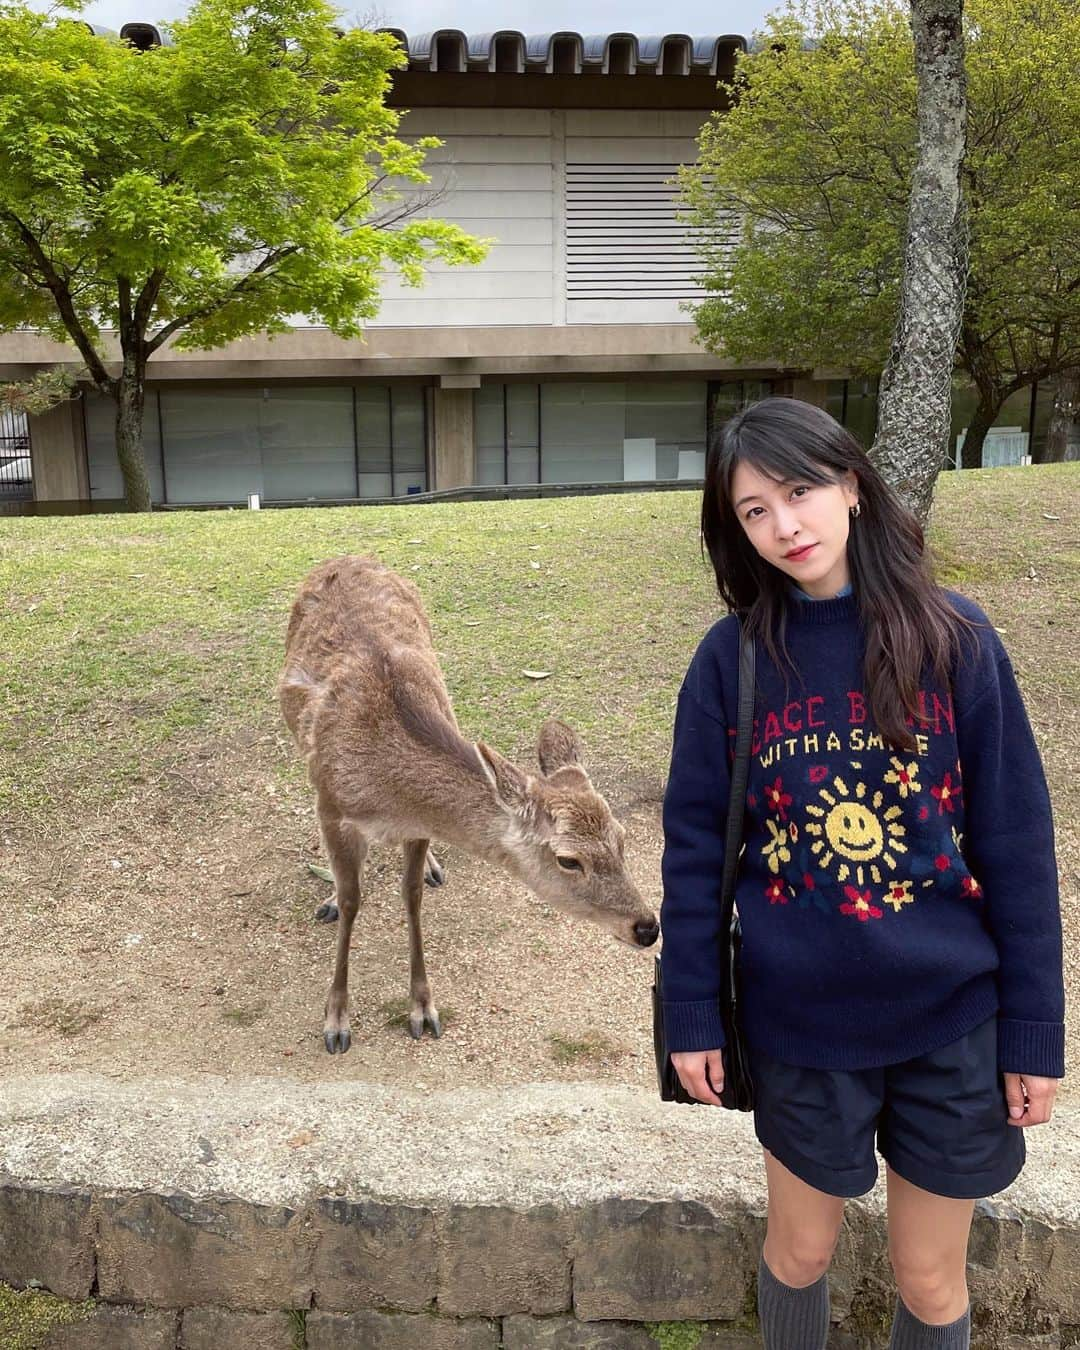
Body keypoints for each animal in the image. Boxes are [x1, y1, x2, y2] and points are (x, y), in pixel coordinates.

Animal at [278, 553, 658, 1047]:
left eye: (622, 838)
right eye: (568, 860)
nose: (647, 927)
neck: (388, 793)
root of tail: (348, 556)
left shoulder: (419, 825)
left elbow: (411, 895)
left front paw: (422, 1008)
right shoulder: (334, 807)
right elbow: (351, 900)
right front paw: (337, 1021)